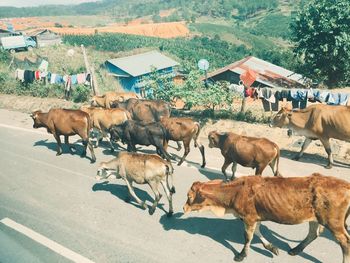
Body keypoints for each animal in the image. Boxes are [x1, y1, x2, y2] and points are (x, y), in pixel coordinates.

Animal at [183, 174, 350, 262]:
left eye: (189, 196)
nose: (183, 208)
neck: (236, 191)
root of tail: (345, 185)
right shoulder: (254, 218)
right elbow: (257, 232)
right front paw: (271, 247)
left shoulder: (249, 217)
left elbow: (248, 237)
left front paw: (241, 255)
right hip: (316, 218)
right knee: (313, 233)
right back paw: (295, 249)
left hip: (334, 223)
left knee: (345, 242)